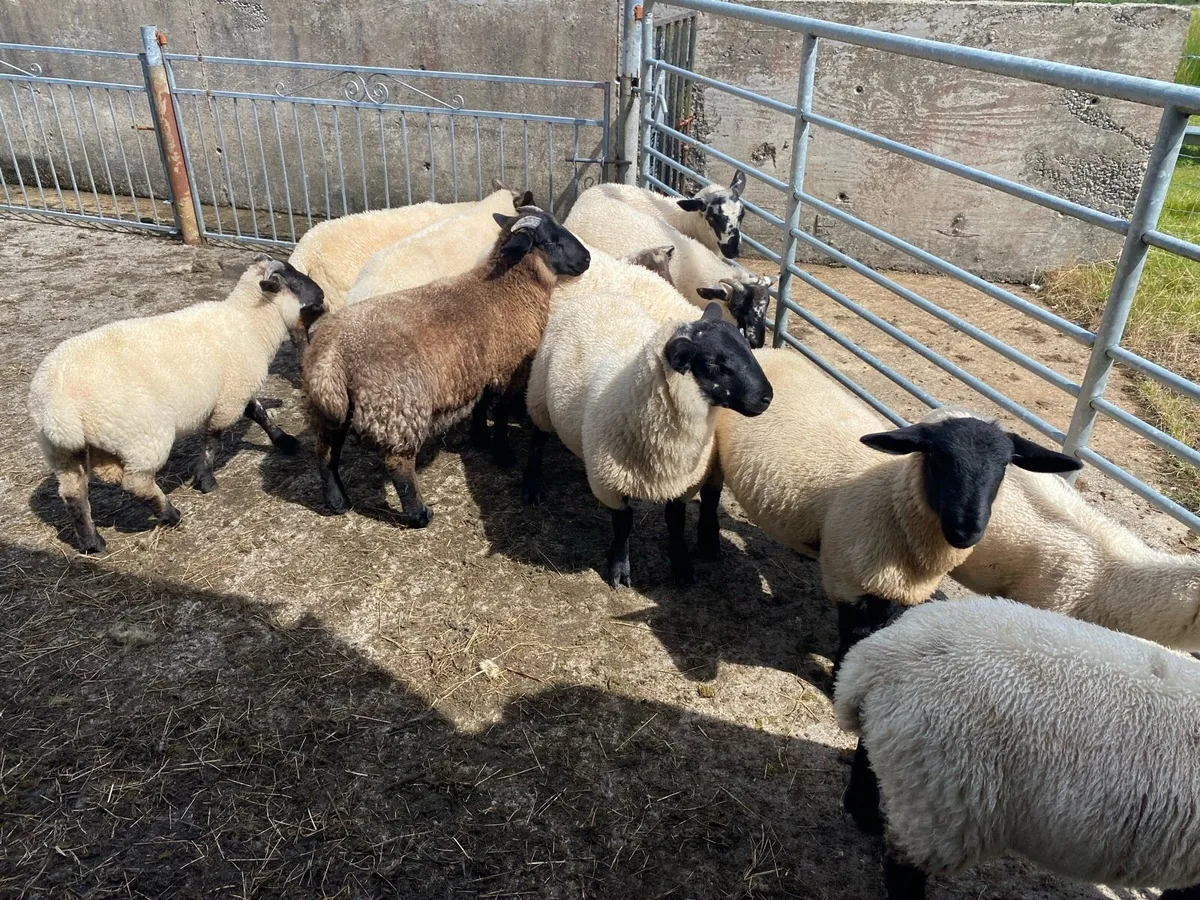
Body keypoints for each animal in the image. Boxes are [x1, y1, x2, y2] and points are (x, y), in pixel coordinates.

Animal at [28, 257, 325, 554]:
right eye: (294, 281)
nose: (322, 295)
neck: (249, 322)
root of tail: (55, 407)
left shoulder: (232, 390)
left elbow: (258, 412)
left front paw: (284, 440)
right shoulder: (230, 395)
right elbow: (214, 437)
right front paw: (205, 478)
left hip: (62, 451)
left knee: (73, 492)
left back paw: (93, 542)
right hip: (143, 437)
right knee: (137, 483)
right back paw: (170, 514)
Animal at [303, 207, 590, 525]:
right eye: (550, 240)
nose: (587, 259)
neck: (508, 290)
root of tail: (333, 353)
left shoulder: (480, 367)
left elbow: (480, 405)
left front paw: (479, 438)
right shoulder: (508, 368)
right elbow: (501, 412)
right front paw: (502, 454)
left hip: (330, 410)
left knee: (325, 452)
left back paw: (337, 502)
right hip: (398, 407)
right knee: (397, 463)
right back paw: (419, 514)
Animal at [525, 292, 773, 588]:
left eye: (747, 348)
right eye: (714, 363)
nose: (767, 397)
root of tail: (593, 297)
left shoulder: (680, 483)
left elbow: (676, 523)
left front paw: (682, 567)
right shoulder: (610, 481)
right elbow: (623, 524)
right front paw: (619, 570)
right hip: (539, 396)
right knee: (537, 441)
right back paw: (532, 488)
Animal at [704, 349, 1081, 671]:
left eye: (1004, 466)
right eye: (937, 459)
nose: (967, 530)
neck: (893, 501)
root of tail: (770, 351)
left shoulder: (898, 589)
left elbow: (881, 626)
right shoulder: (849, 580)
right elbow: (854, 634)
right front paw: (839, 676)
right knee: (709, 497)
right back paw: (709, 547)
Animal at [835, 595, 1200, 899]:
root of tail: (884, 653)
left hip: (909, 755)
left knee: (867, 761)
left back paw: (864, 815)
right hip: (945, 795)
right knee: (904, 865)